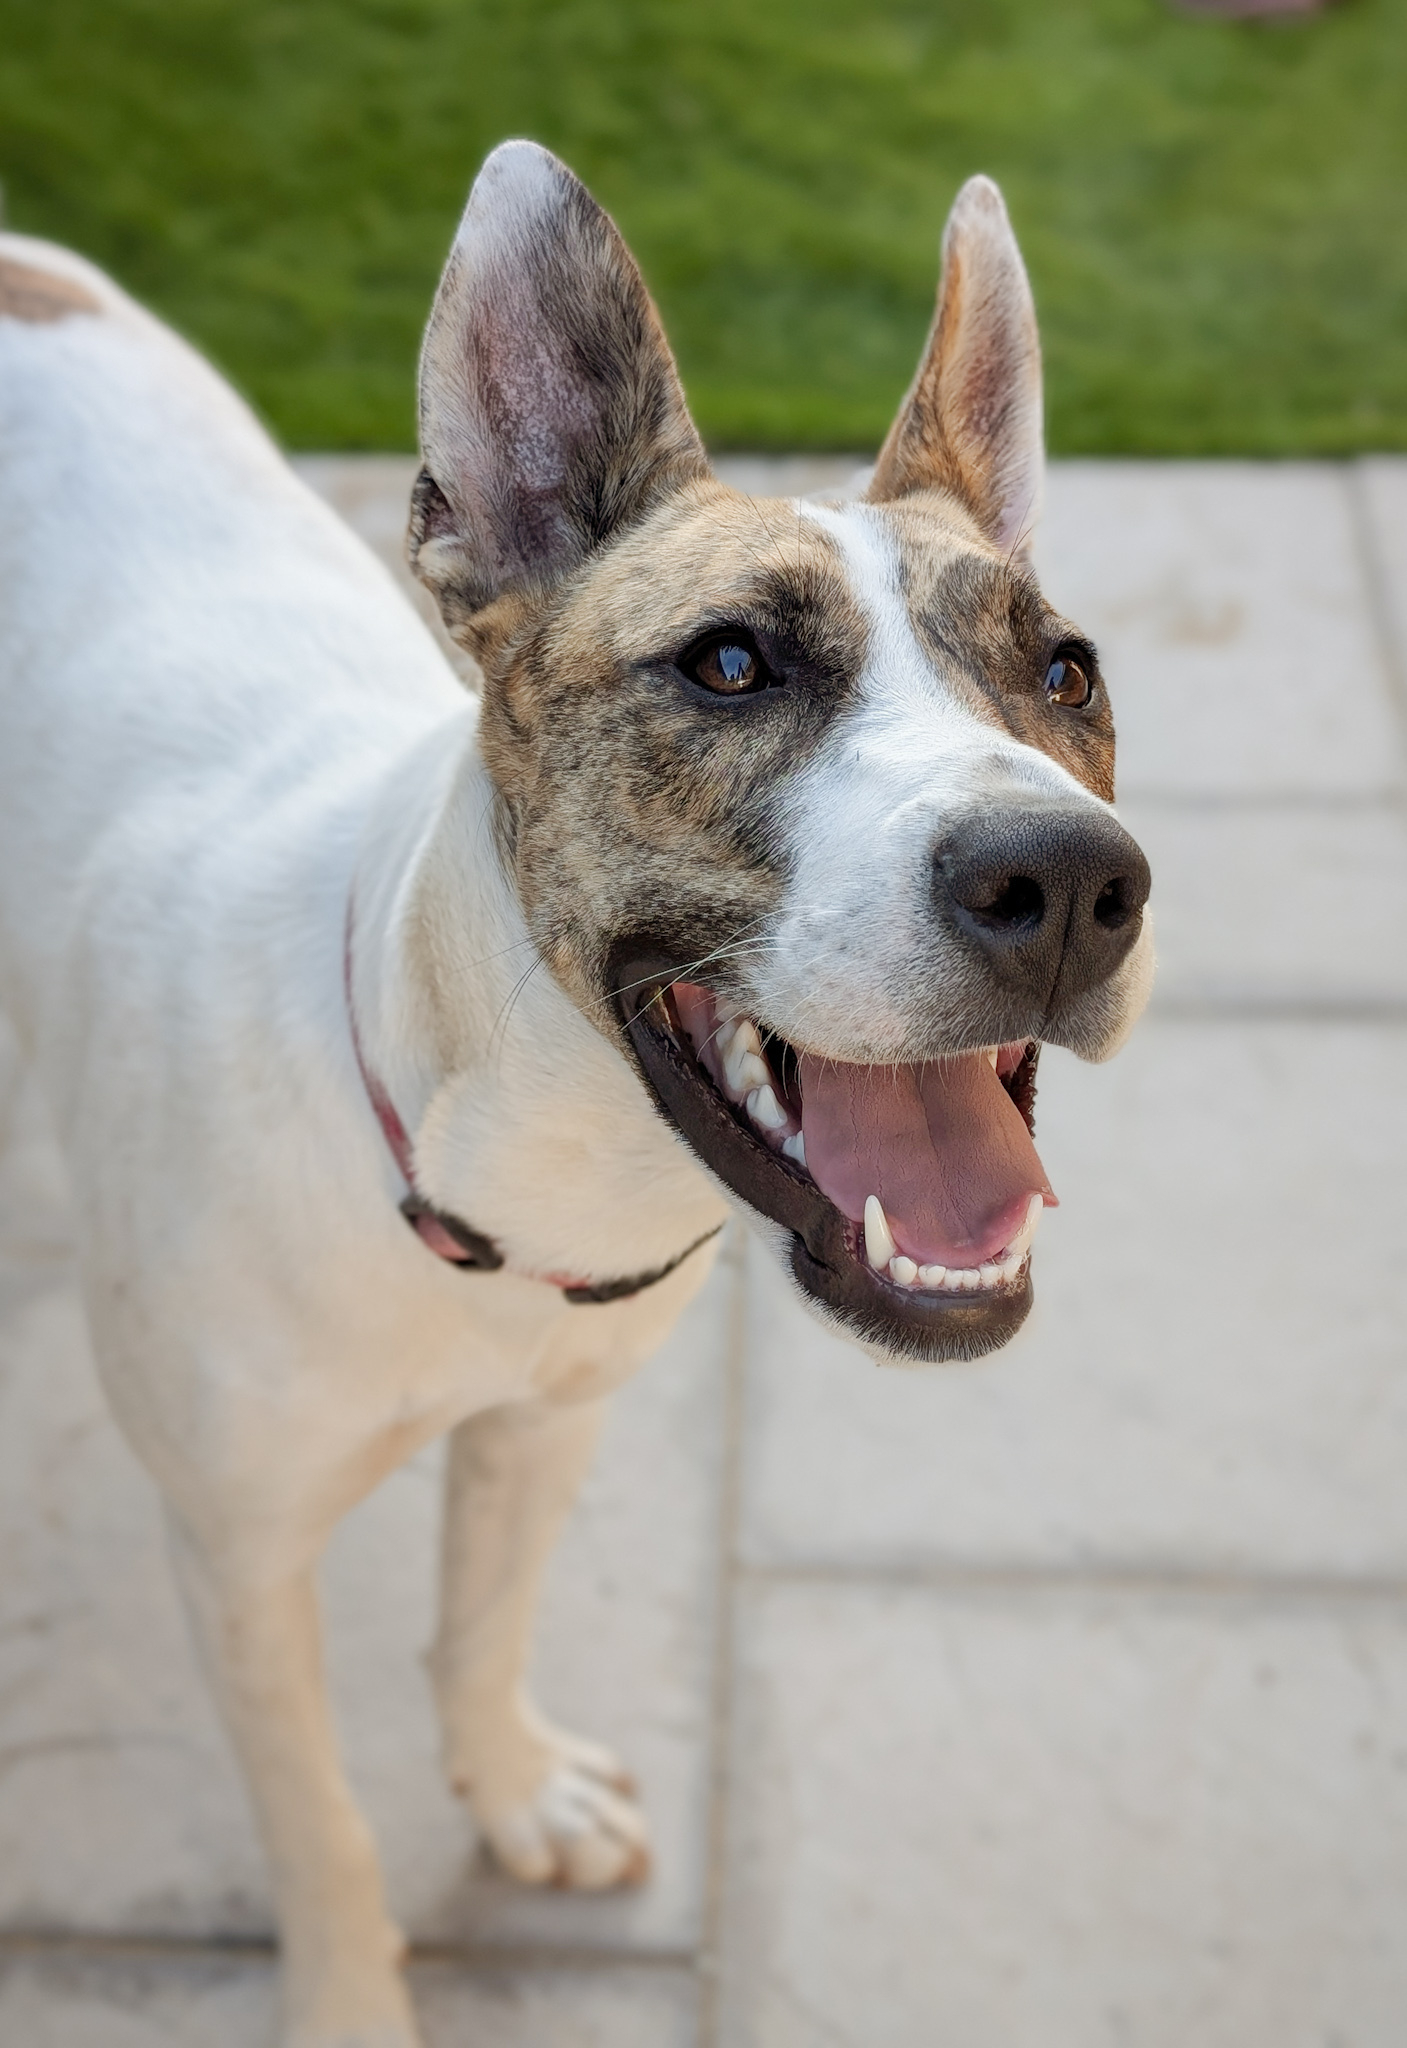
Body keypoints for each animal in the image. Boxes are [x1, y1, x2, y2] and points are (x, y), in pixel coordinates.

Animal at [0, 144, 1146, 2048]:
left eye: (1061, 670)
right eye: (730, 663)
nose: (1064, 878)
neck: (501, 1168)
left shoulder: (546, 1421)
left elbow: (480, 1627)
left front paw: (513, 1790)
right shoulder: (236, 1554)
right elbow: (319, 1826)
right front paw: (349, 2004)